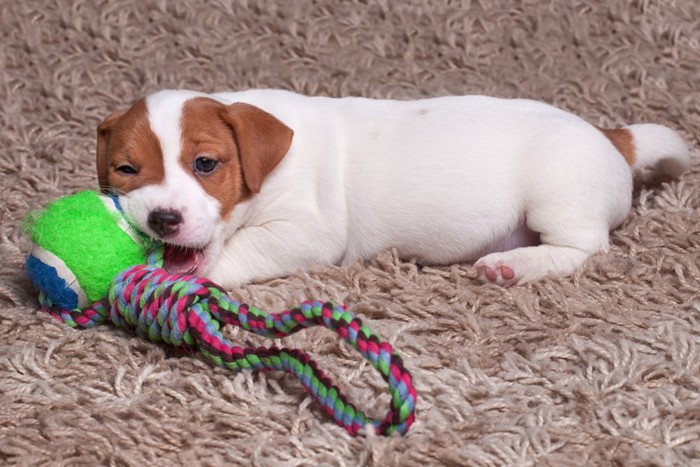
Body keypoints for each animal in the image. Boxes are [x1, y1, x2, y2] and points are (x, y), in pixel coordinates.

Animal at [95, 89, 692, 288]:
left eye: (205, 163)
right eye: (126, 170)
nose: (162, 221)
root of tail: (611, 137)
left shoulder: (305, 232)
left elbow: (239, 252)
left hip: (559, 194)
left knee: (584, 249)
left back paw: (516, 265)